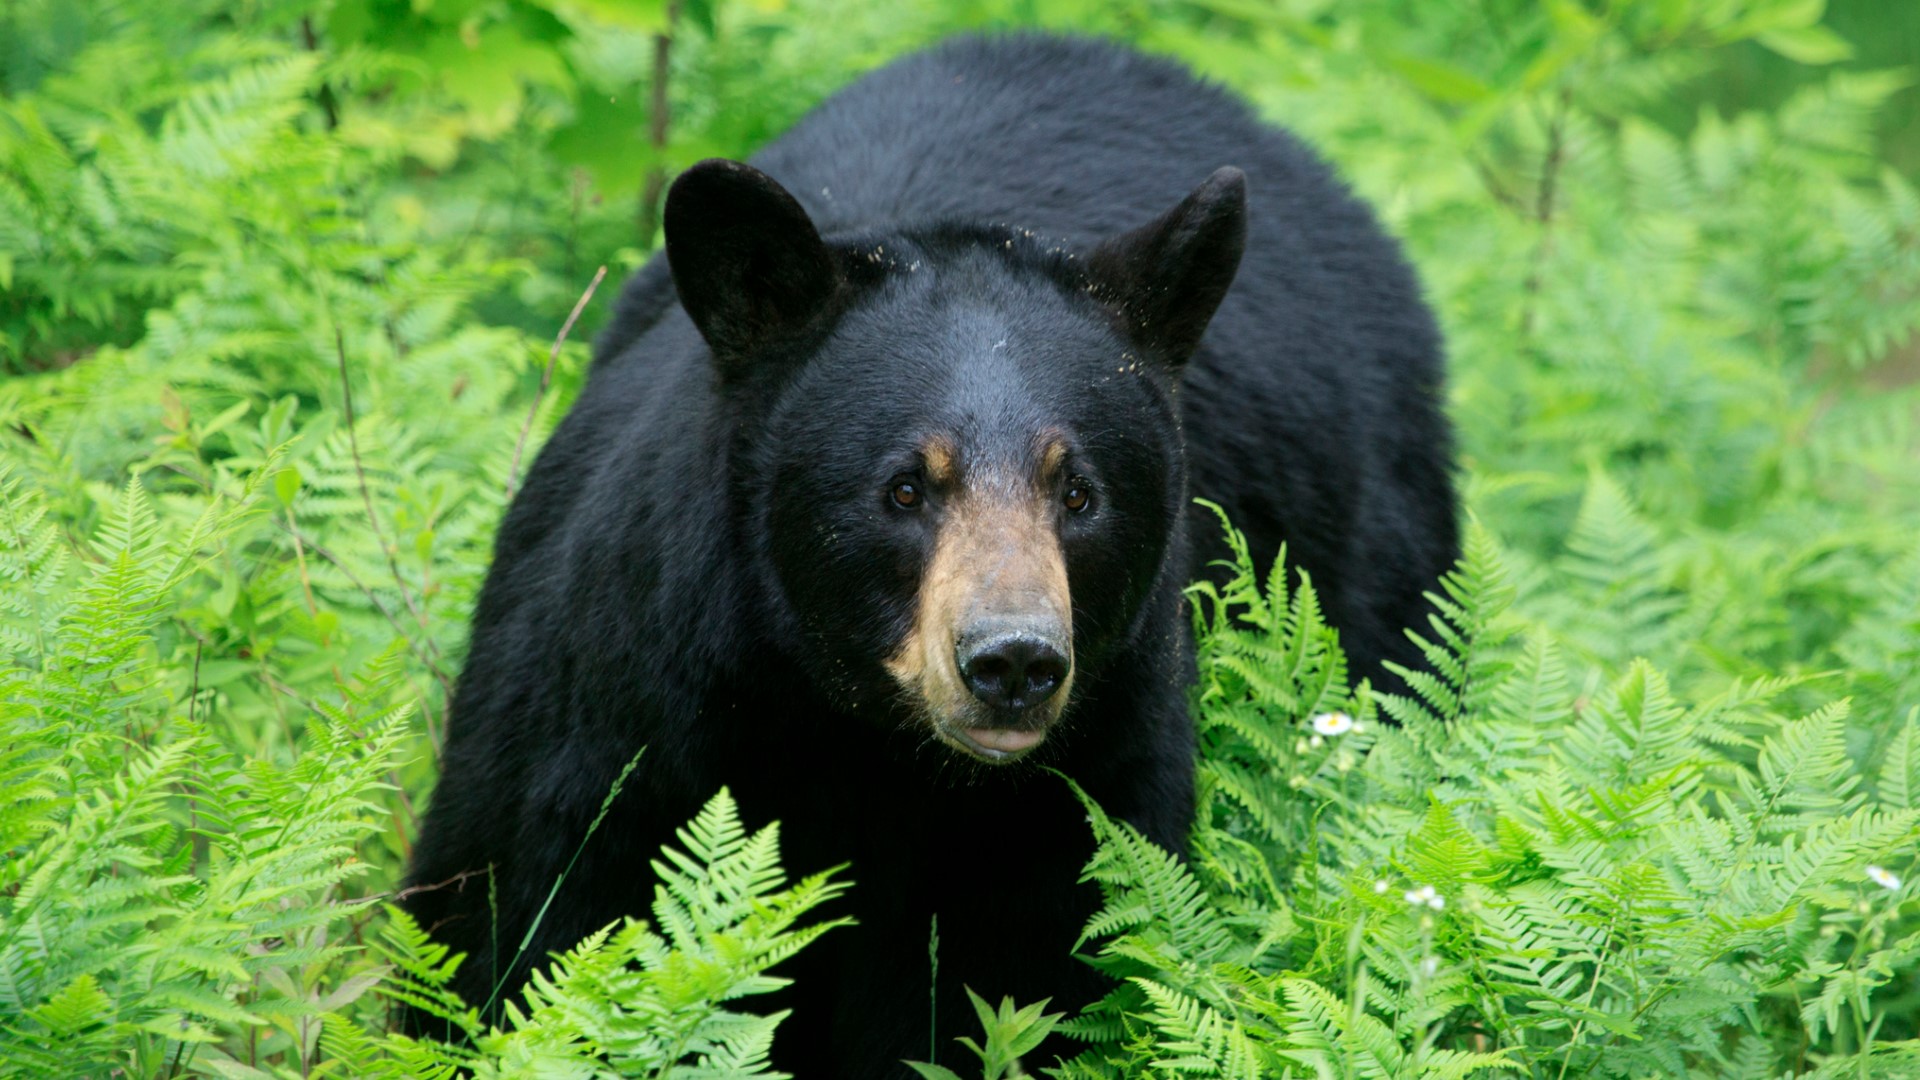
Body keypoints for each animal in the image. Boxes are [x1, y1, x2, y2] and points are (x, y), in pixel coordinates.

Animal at [405, 29, 1451, 1068]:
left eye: (1079, 493)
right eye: (905, 488)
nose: (1013, 661)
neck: (869, 753)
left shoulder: (1094, 785)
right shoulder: (618, 722)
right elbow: (513, 921)